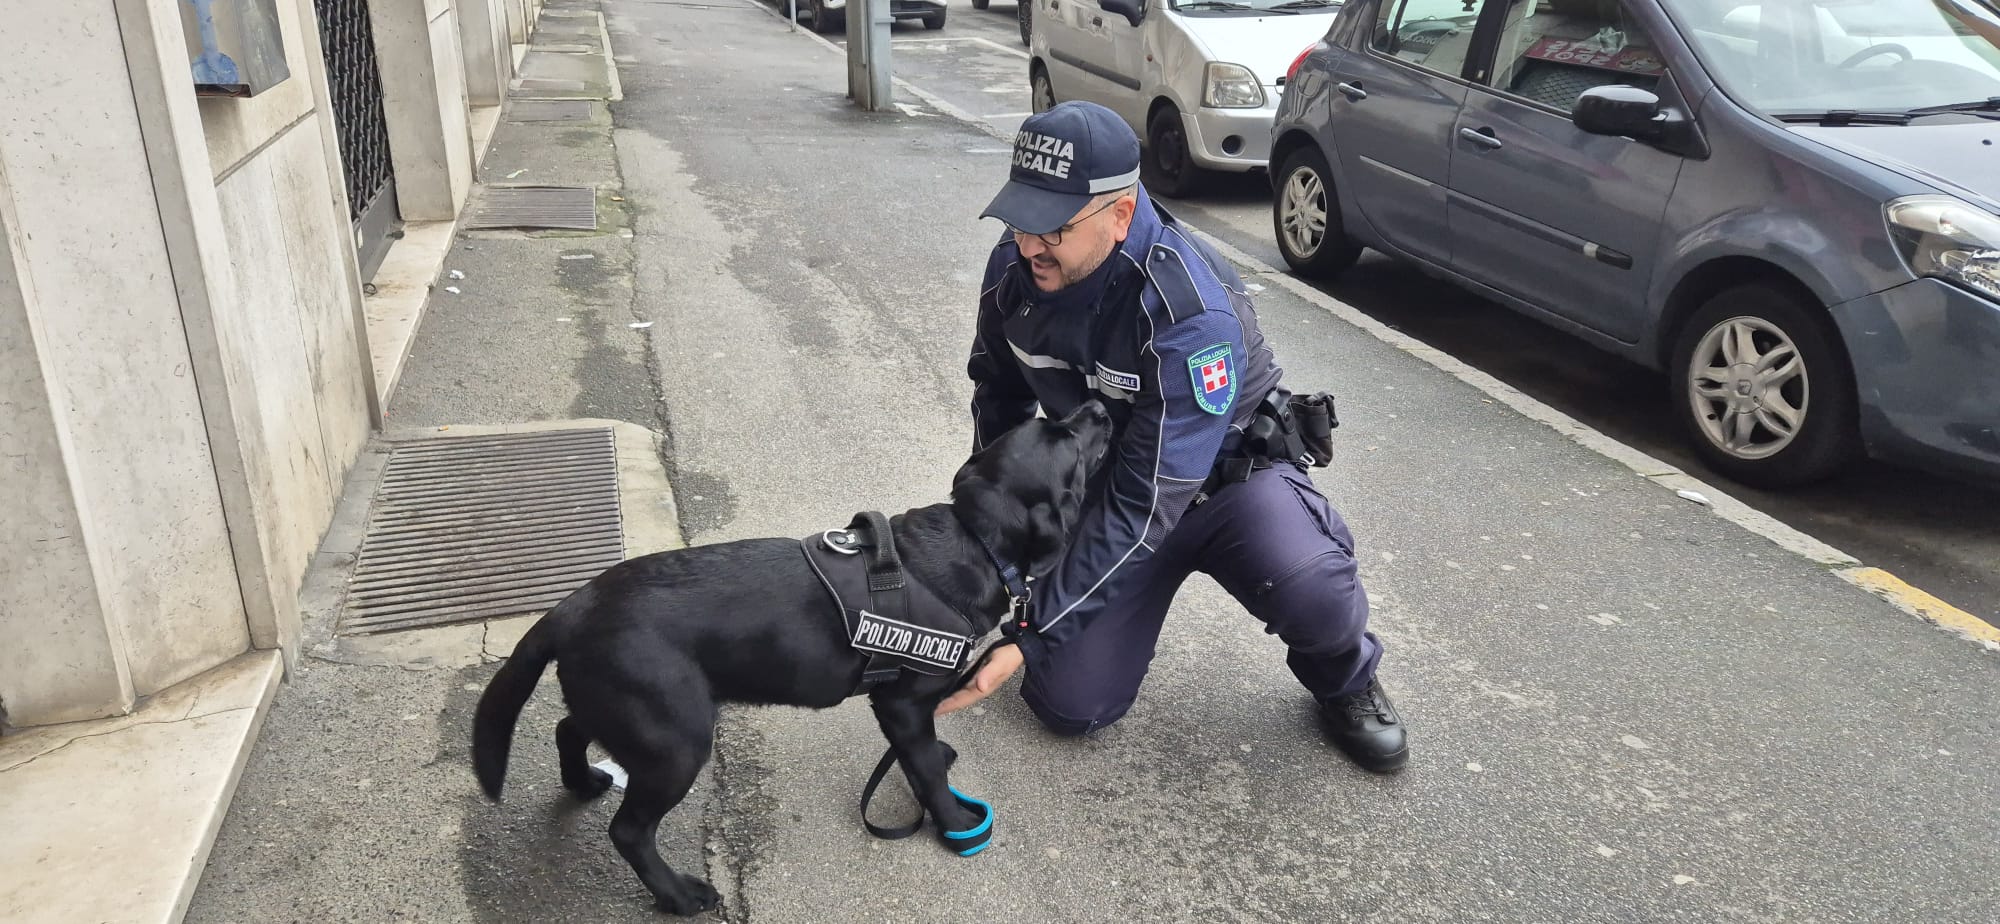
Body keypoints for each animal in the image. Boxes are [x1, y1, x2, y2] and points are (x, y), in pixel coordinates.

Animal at [478, 404, 1120, 916]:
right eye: (1066, 438)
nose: (1098, 406)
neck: (975, 541)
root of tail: (573, 605)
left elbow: (924, 756)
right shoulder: (903, 703)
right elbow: (927, 771)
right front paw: (956, 826)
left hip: (626, 711)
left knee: (568, 728)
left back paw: (584, 782)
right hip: (675, 741)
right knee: (629, 831)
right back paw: (679, 895)